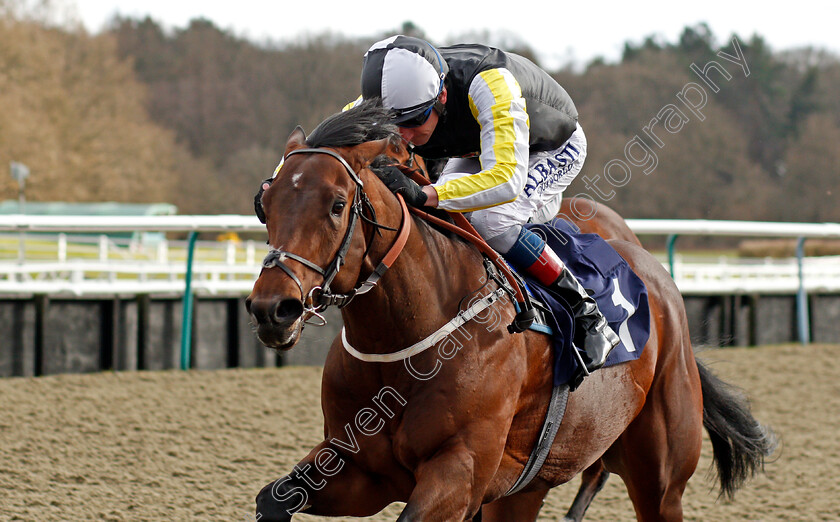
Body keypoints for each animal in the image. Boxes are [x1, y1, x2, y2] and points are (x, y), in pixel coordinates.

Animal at [244, 103, 776, 516]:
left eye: (337, 204)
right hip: (523, 489)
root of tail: (654, 272)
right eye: (264, 203)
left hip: (660, 477)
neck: (403, 344)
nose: (273, 308)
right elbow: (272, 499)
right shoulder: (358, 467)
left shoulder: (460, 472)